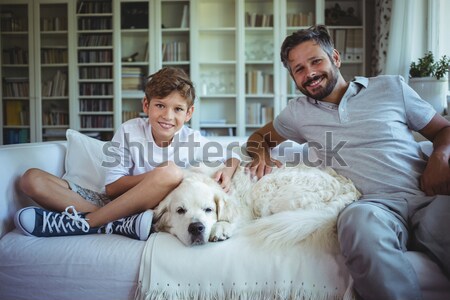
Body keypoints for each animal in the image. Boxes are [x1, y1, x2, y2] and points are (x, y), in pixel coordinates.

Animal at [153, 163, 360, 250]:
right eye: (180, 211)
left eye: (208, 210)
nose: (196, 228)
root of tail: (347, 187)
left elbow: (231, 217)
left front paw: (221, 227)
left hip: (265, 190)